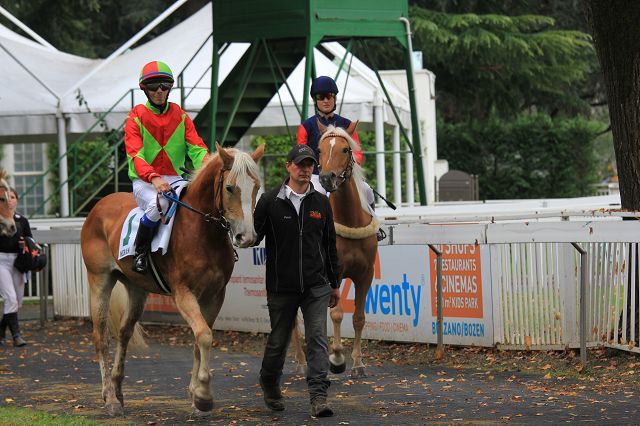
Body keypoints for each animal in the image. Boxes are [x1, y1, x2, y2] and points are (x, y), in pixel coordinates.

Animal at [80, 143, 264, 416]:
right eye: (230, 187)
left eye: (257, 187)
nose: (247, 237)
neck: (202, 231)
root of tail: (99, 205)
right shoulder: (183, 292)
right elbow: (204, 335)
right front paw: (203, 395)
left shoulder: (214, 295)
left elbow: (201, 337)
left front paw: (196, 394)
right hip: (99, 280)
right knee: (100, 337)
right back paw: (110, 398)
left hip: (136, 289)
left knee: (124, 332)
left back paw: (118, 390)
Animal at [292, 123, 378, 378]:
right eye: (319, 150)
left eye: (345, 149)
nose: (327, 178)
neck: (350, 220)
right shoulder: (335, 274)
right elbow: (337, 314)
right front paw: (337, 357)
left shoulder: (365, 274)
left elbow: (358, 318)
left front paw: (358, 363)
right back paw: (302, 361)